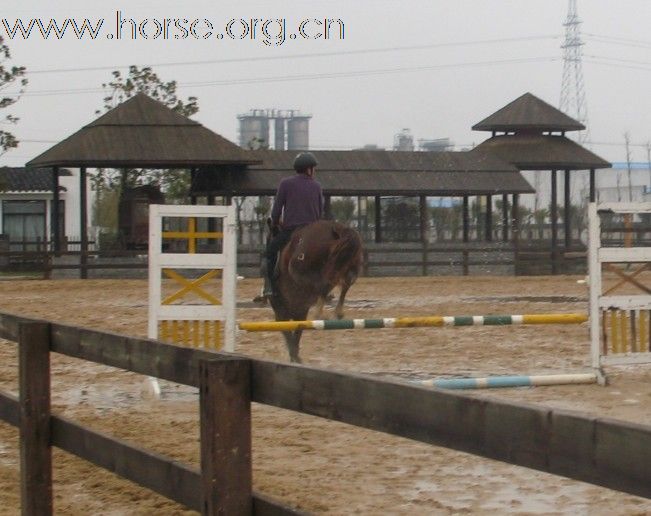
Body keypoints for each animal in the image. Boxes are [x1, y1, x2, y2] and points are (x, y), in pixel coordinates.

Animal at [266, 221, 366, 362]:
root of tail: (336, 228)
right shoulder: (298, 312)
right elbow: (296, 332)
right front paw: (295, 356)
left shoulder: (283, 312)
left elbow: (290, 334)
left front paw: (294, 356)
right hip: (349, 265)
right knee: (344, 283)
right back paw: (336, 311)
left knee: (325, 284)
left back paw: (321, 313)